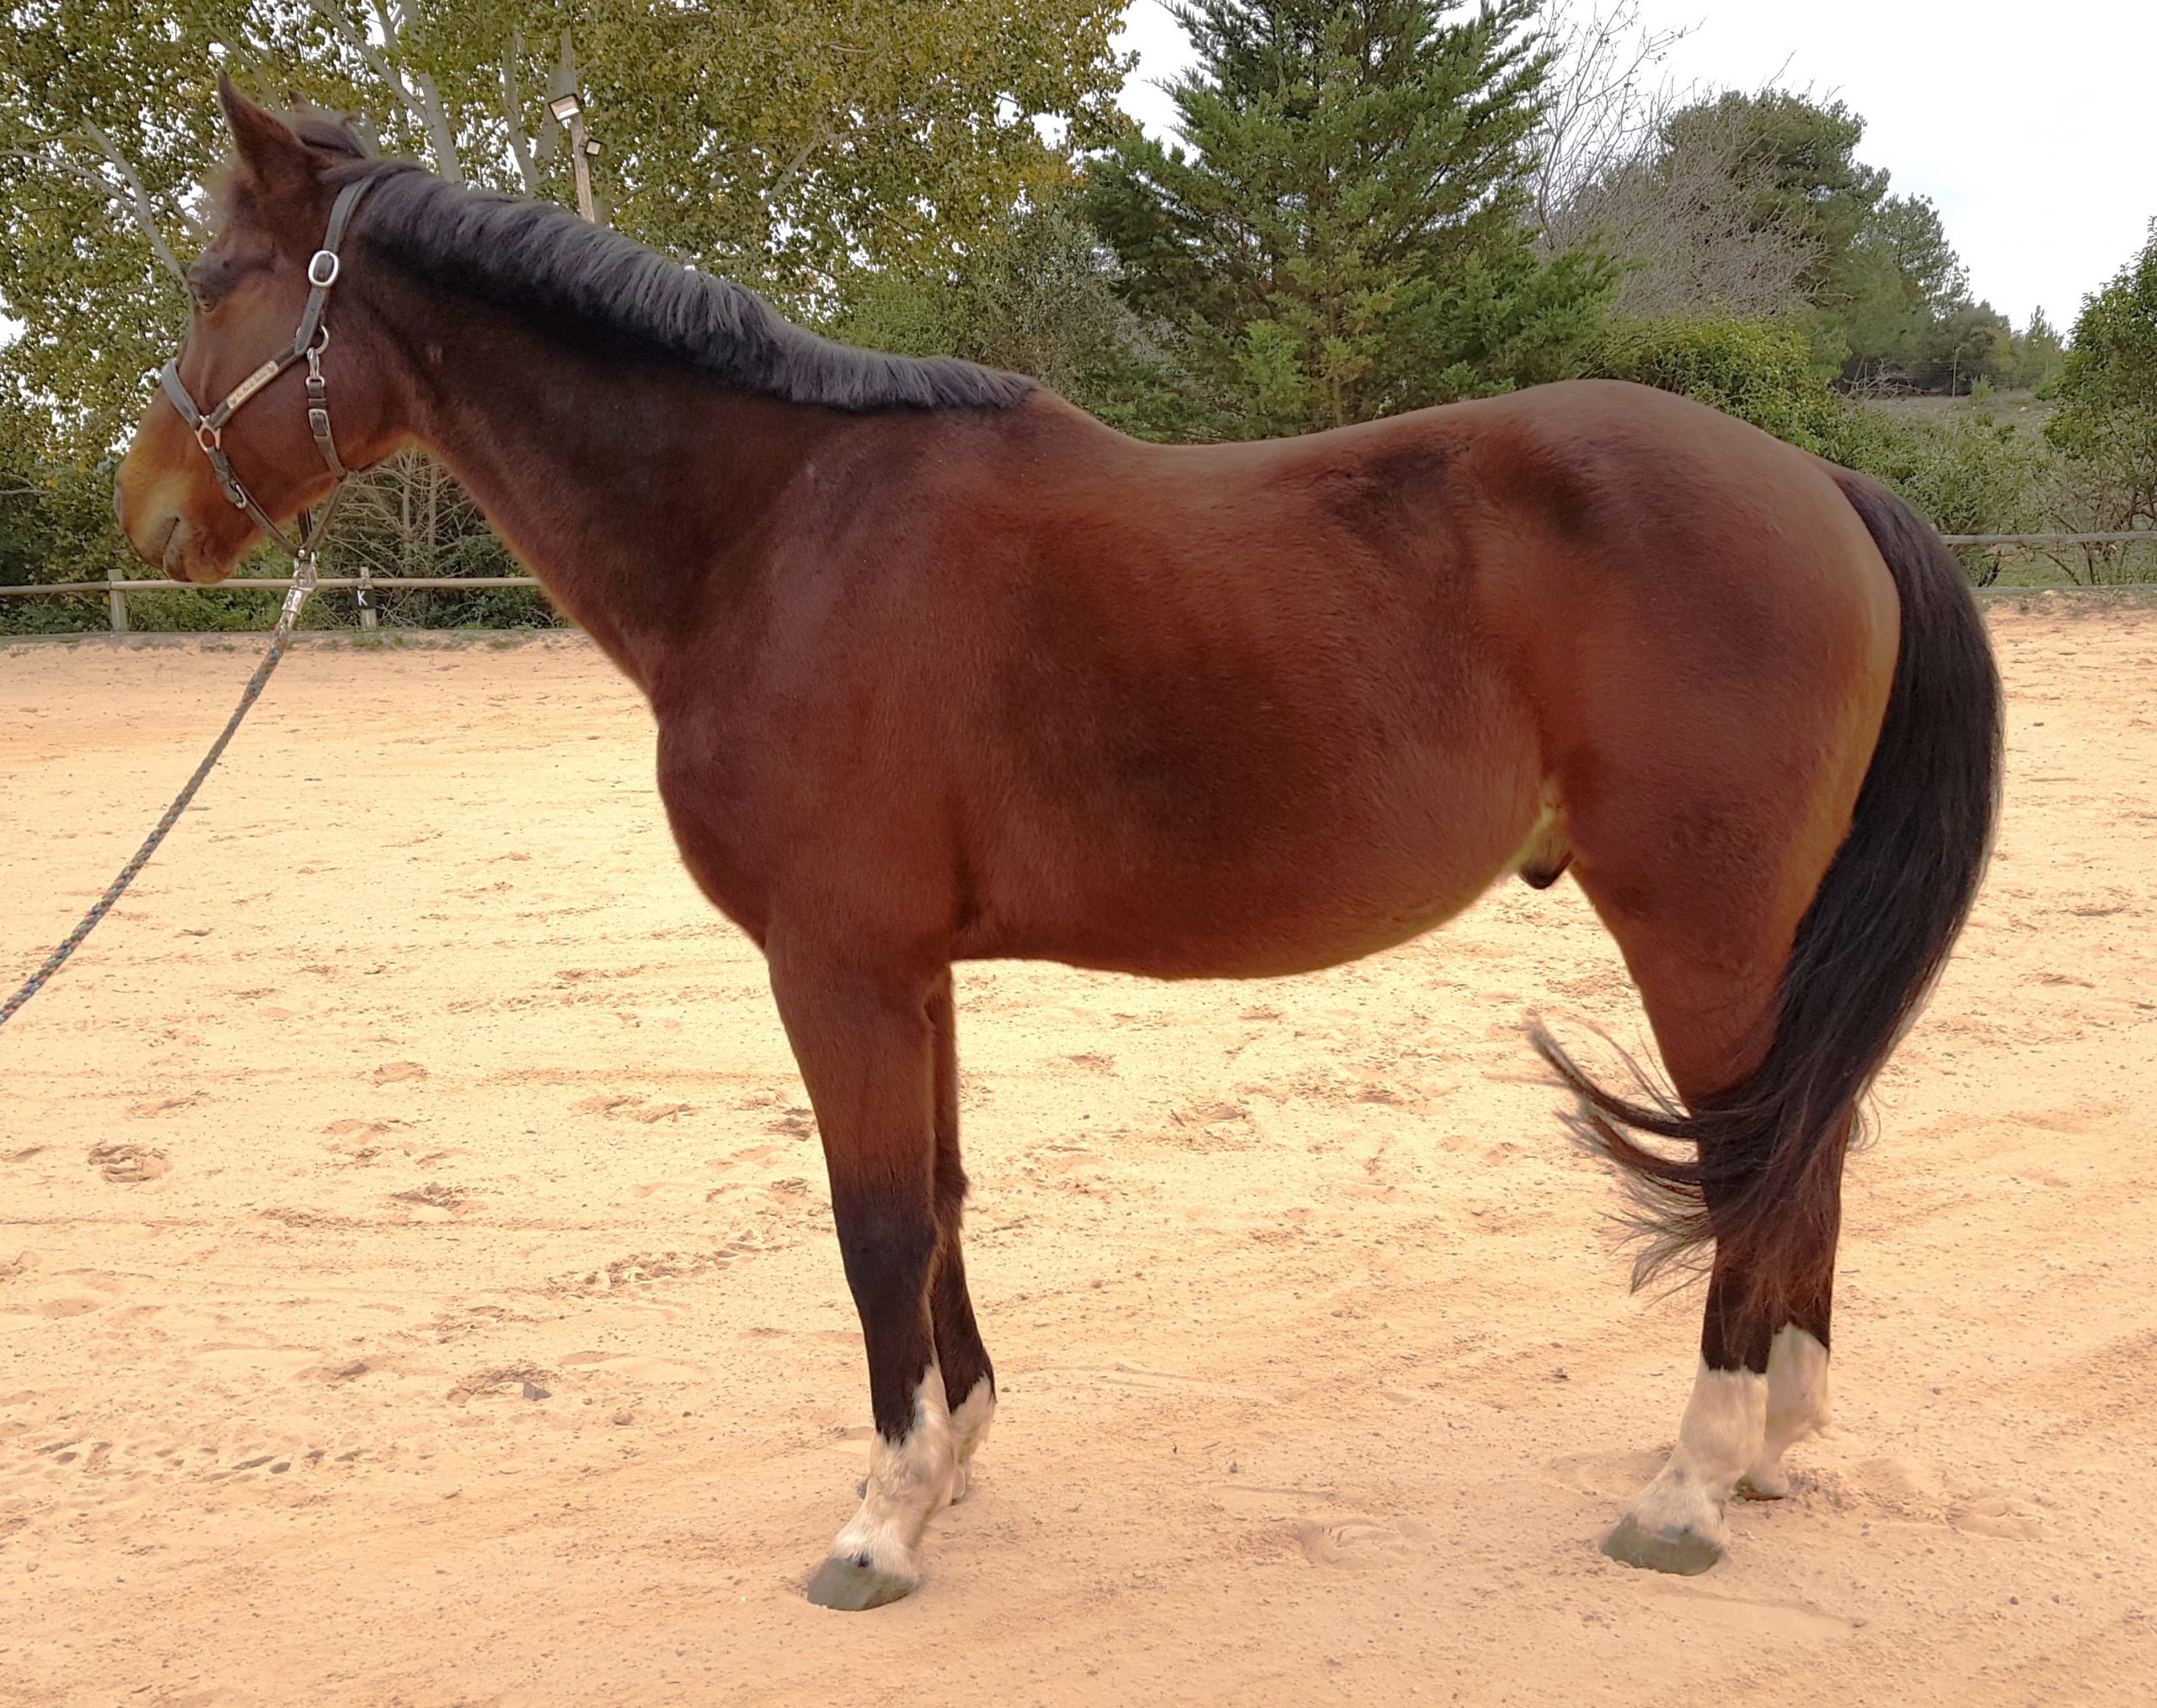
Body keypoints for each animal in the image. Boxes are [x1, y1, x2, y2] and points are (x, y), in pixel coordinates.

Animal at [116, 81, 2000, 1611]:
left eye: (214, 284)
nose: (145, 511)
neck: (778, 529)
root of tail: (1827, 487)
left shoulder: (835, 963)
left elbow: (874, 1219)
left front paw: (878, 1523)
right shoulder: (911, 967)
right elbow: (942, 1200)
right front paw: (951, 1454)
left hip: (1698, 927)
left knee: (1760, 1162)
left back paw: (1689, 1483)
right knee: (1805, 1146)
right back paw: (1770, 1447)